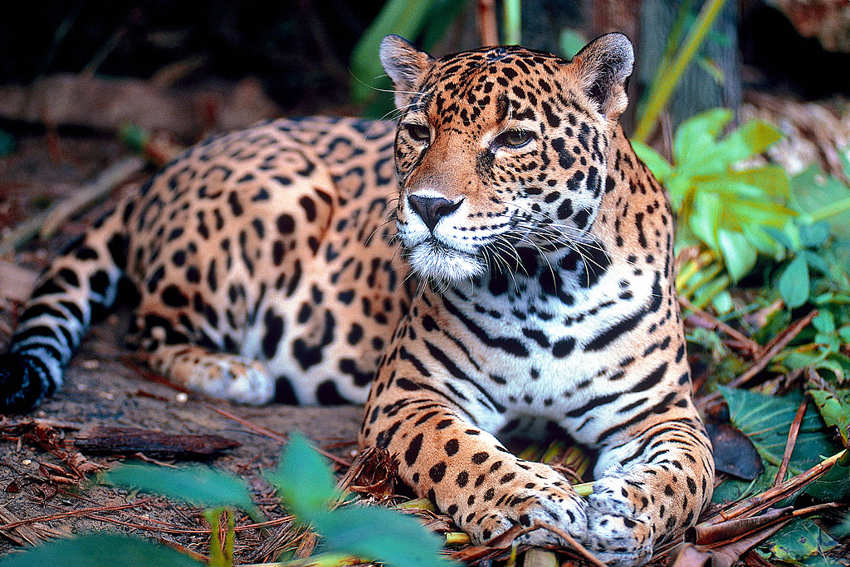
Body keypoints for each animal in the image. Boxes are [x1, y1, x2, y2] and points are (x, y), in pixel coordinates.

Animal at [0, 33, 714, 566]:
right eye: (418, 131)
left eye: (514, 140)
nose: (428, 206)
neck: (544, 282)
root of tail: (160, 172)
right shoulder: (409, 394)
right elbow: (464, 455)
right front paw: (534, 500)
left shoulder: (661, 413)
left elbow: (689, 475)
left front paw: (627, 513)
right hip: (279, 197)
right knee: (145, 328)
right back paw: (234, 372)